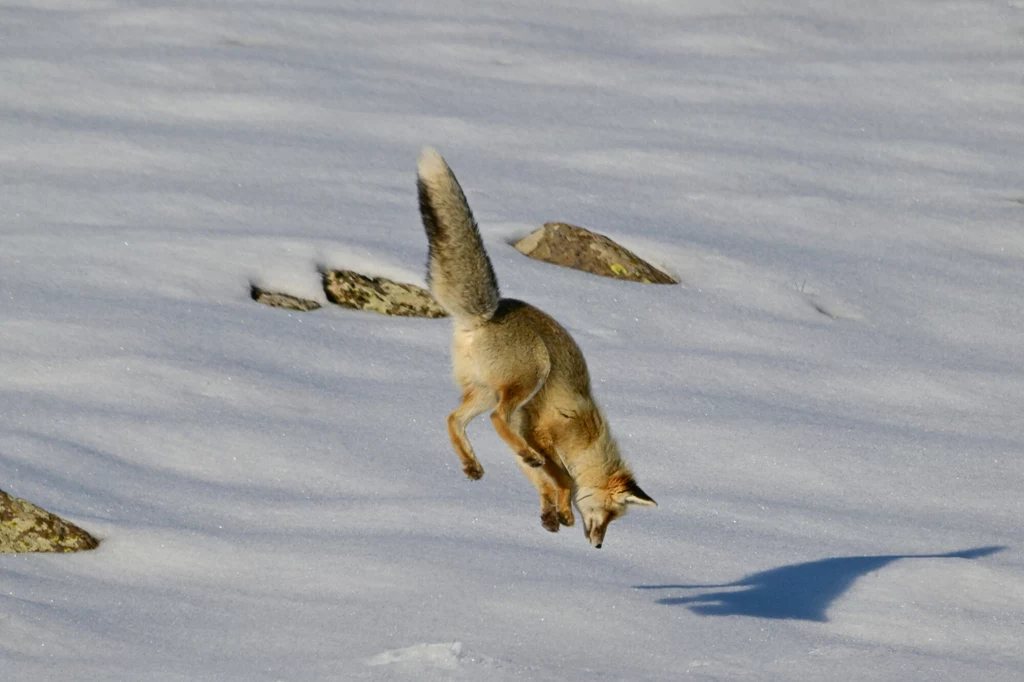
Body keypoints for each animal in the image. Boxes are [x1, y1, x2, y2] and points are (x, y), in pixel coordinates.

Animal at [415, 147, 655, 548]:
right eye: (608, 514)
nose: (599, 545)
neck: (586, 441)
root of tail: (487, 314)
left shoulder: (533, 440)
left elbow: (544, 482)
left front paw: (550, 514)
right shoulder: (541, 433)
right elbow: (561, 478)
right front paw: (563, 510)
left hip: (484, 392)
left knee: (453, 419)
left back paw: (472, 464)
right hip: (531, 374)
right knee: (497, 418)